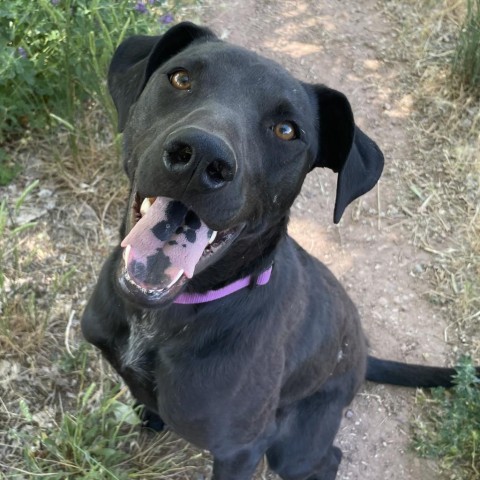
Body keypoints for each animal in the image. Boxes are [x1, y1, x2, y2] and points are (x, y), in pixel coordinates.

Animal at [81, 20, 472, 478]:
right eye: (180, 78)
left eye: (287, 130)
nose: (201, 158)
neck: (160, 317)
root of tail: (362, 358)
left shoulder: (241, 450)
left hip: (294, 447)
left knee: (328, 457)